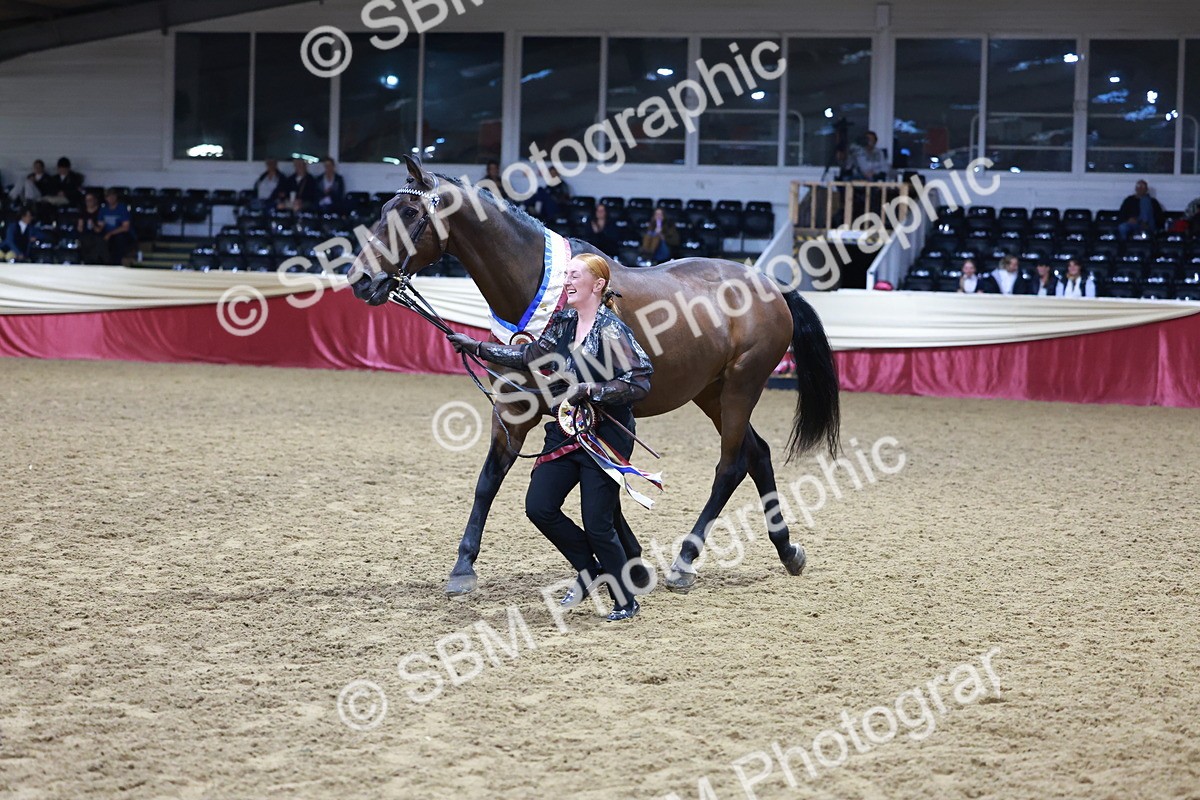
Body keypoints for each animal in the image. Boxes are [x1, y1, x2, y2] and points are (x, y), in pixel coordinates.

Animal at [349, 156, 840, 595]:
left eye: (410, 213)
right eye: (382, 210)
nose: (360, 280)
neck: (539, 293)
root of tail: (772, 287)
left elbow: (602, 479)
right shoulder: (515, 411)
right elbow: (492, 479)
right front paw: (463, 566)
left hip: (741, 388)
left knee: (732, 464)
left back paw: (685, 561)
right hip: (711, 393)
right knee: (757, 454)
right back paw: (787, 549)